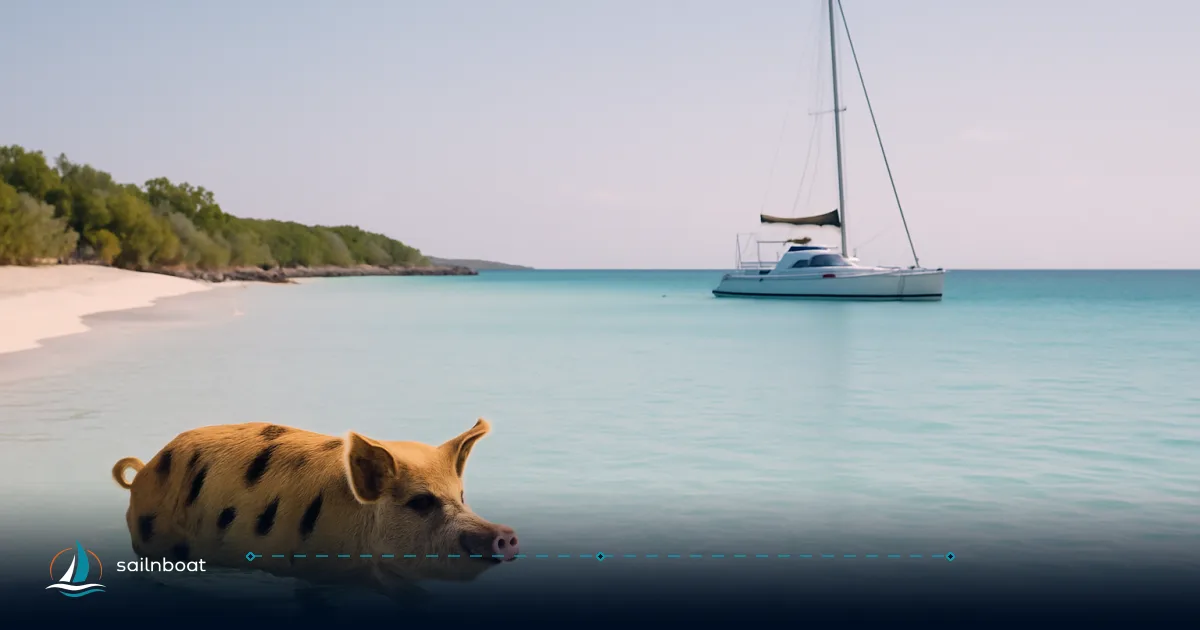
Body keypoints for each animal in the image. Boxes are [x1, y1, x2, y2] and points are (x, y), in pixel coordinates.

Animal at [110, 419, 519, 598]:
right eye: (421, 502)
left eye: (462, 496)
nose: (506, 534)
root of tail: (142, 470)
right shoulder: (314, 568)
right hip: (152, 540)